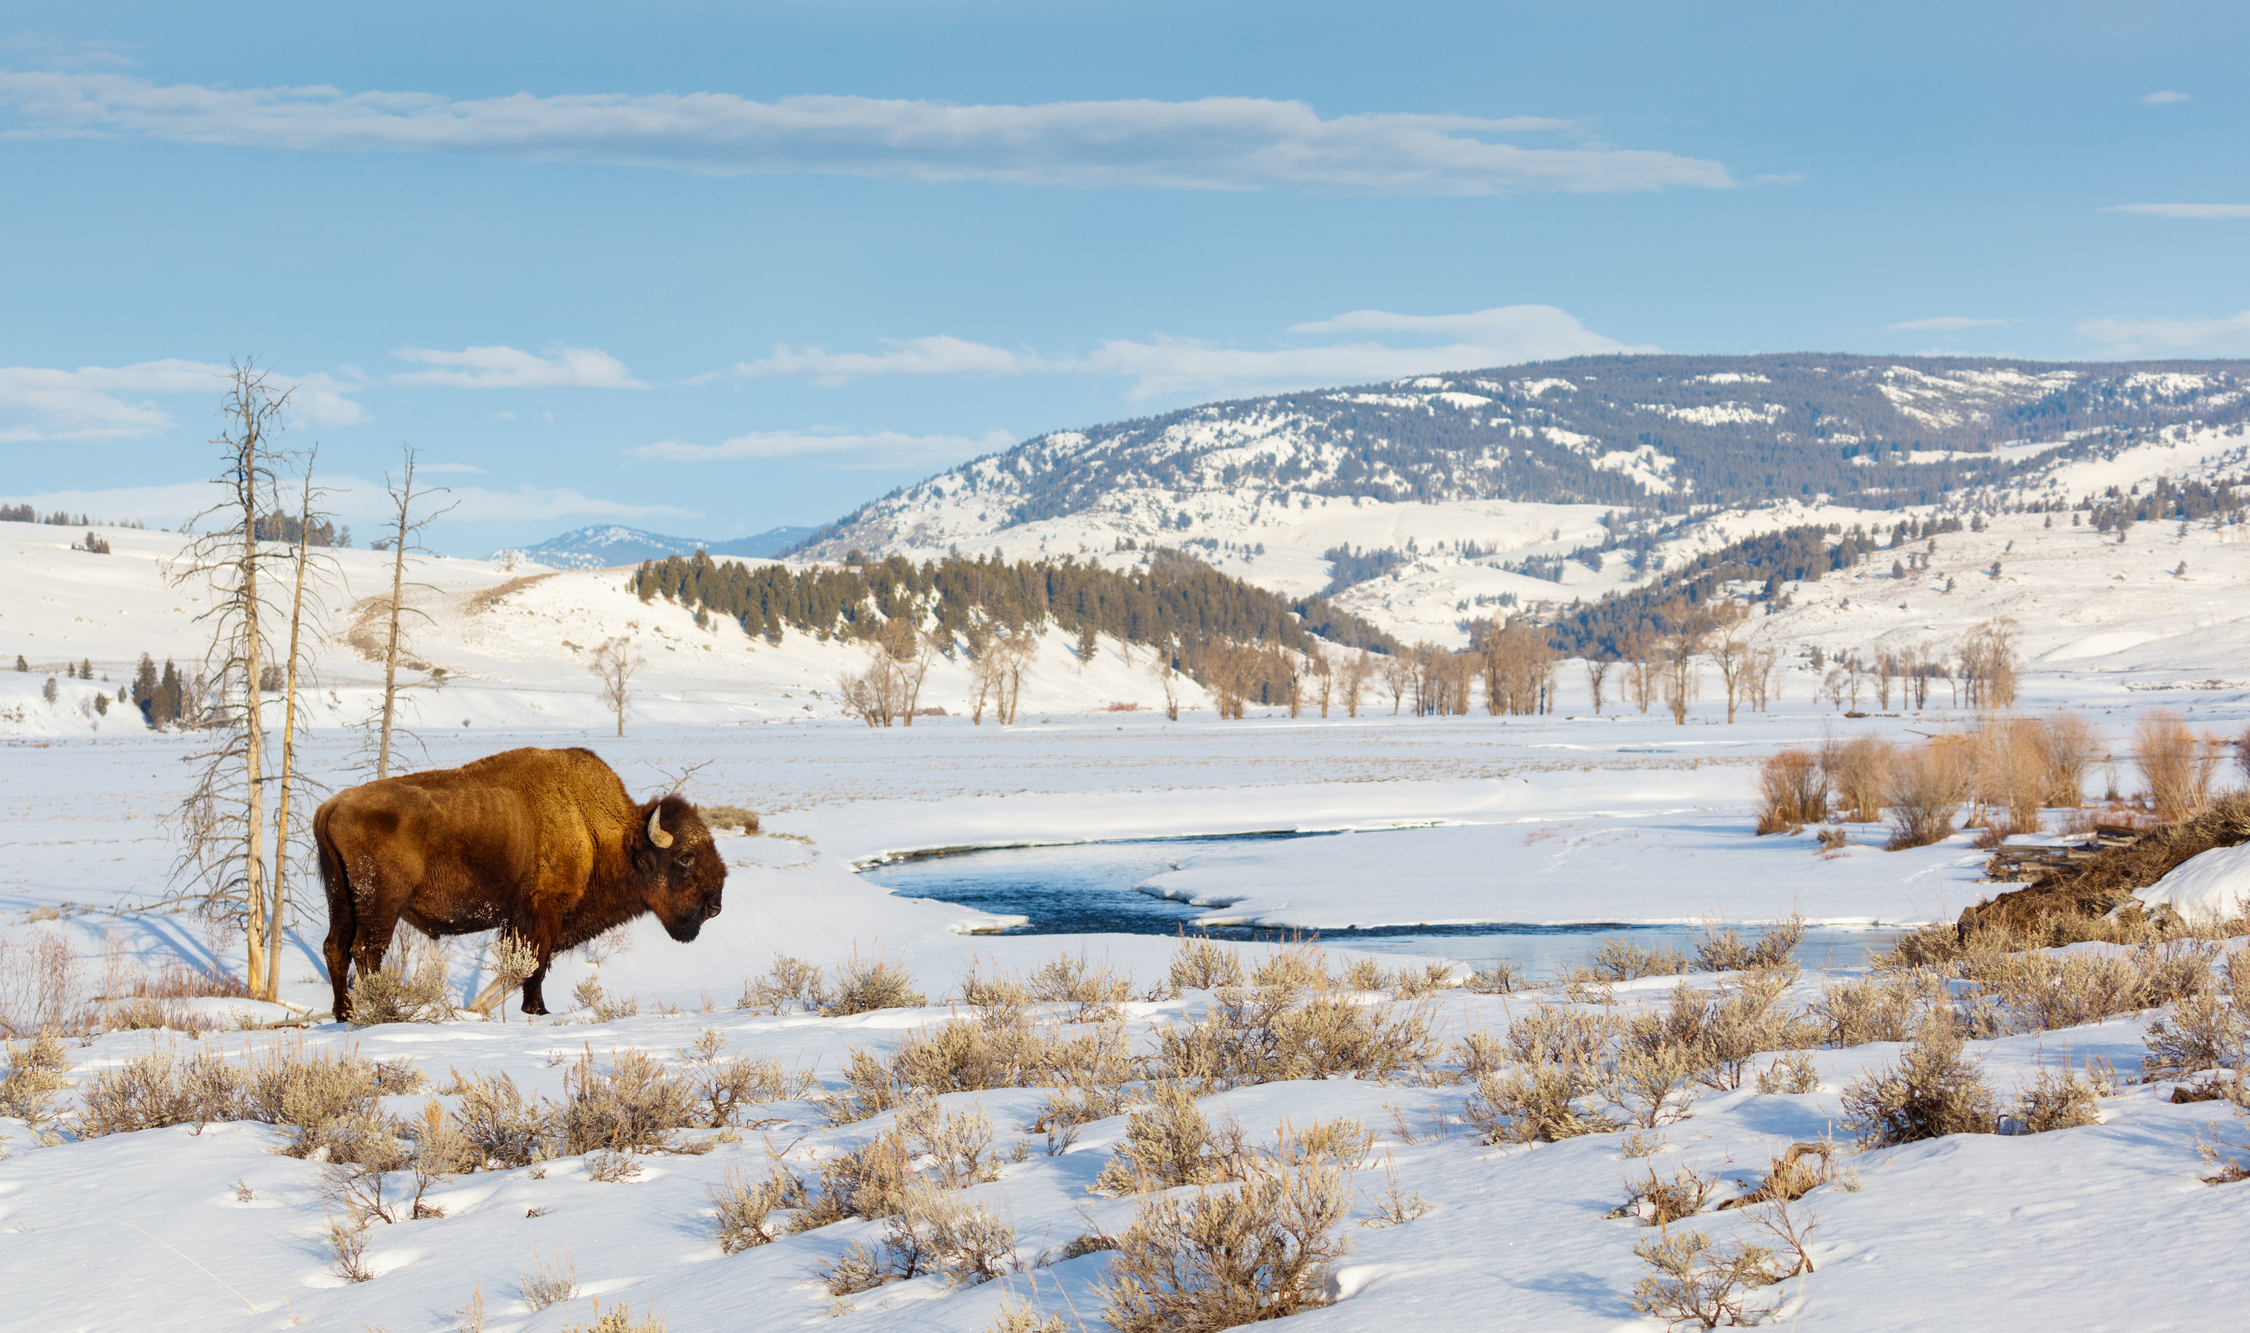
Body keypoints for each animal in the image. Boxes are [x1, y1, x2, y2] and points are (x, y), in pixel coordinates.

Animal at [310, 747, 720, 1022]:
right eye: (685, 858)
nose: (714, 907)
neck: (593, 828)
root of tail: (331, 806)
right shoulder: (543, 910)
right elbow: (533, 964)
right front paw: (537, 1010)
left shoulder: (519, 919)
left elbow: (518, 965)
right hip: (381, 902)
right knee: (366, 950)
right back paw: (381, 1009)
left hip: (341, 896)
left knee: (336, 948)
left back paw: (344, 1014)